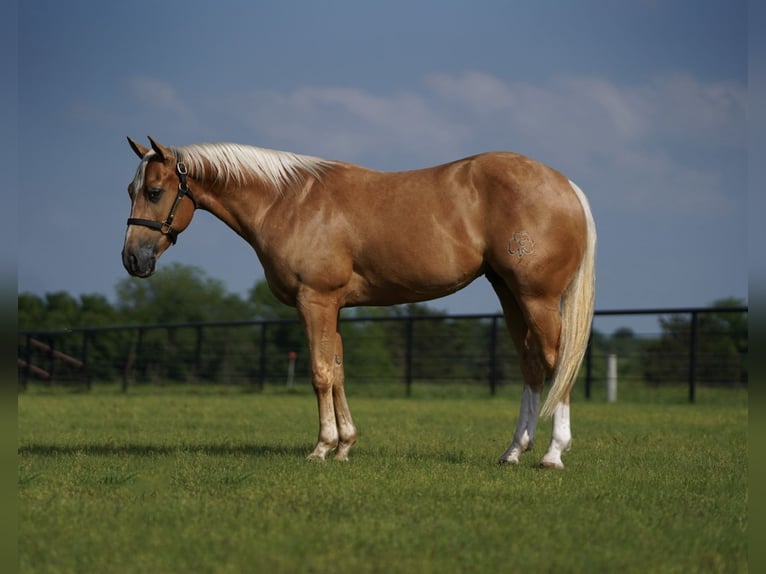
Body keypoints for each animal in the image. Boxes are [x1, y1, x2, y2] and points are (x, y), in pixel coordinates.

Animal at [123, 137, 596, 470]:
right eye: (130, 188)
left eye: (154, 191)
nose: (133, 260)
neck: (287, 201)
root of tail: (566, 186)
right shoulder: (333, 306)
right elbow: (337, 371)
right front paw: (345, 445)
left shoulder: (314, 300)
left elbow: (319, 373)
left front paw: (321, 448)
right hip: (509, 294)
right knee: (531, 365)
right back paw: (514, 451)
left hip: (536, 298)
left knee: (556, 363)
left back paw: (552, 454)